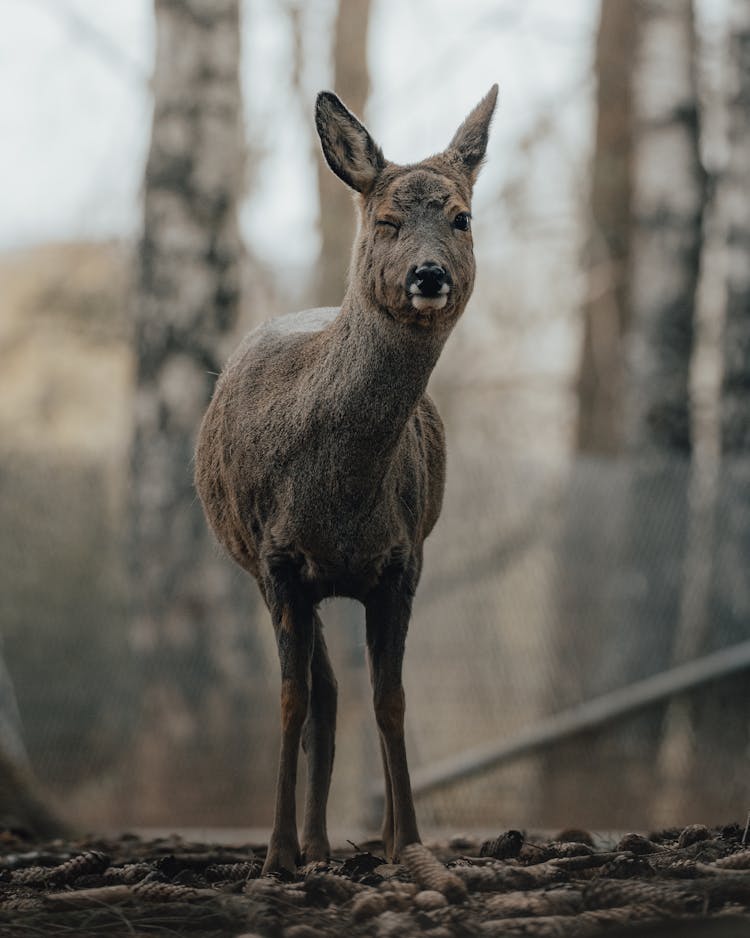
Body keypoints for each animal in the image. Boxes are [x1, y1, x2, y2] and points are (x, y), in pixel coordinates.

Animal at [195, 84, 500, 872]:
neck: (341, 498)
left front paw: (411, 844)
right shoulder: (277, 561)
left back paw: (342, 842)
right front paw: (273, 855)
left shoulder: (402, 560)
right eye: (386, 219)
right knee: (322, 693)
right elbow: (290, 701)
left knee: (343, 690)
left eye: (462, 216)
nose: (430, 275)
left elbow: (390, 699)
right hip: (256, 565)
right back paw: (309, 846)